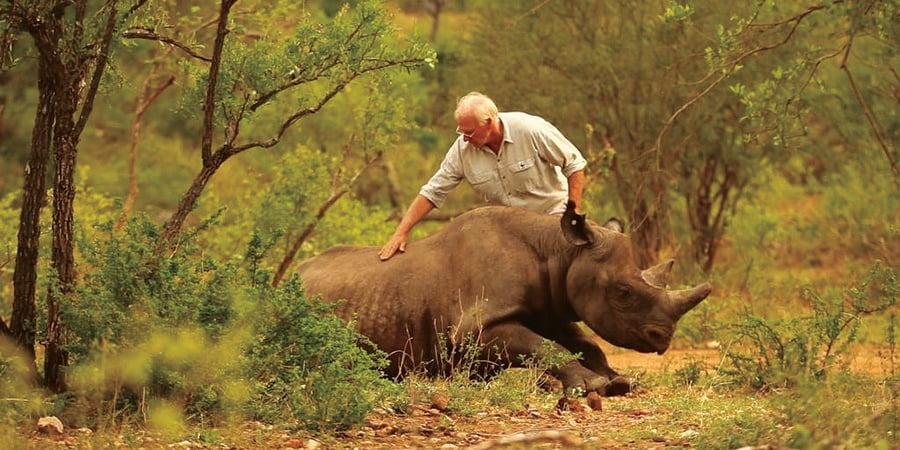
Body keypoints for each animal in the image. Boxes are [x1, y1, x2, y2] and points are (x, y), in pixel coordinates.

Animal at [296, 202, 711, 396]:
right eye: (623, 293)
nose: (662, 339)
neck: (560, 251)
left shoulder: (548, 307)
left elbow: (583, 342)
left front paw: (616, 380)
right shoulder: (474, 328)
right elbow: (542, 345)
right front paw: (591, 385)